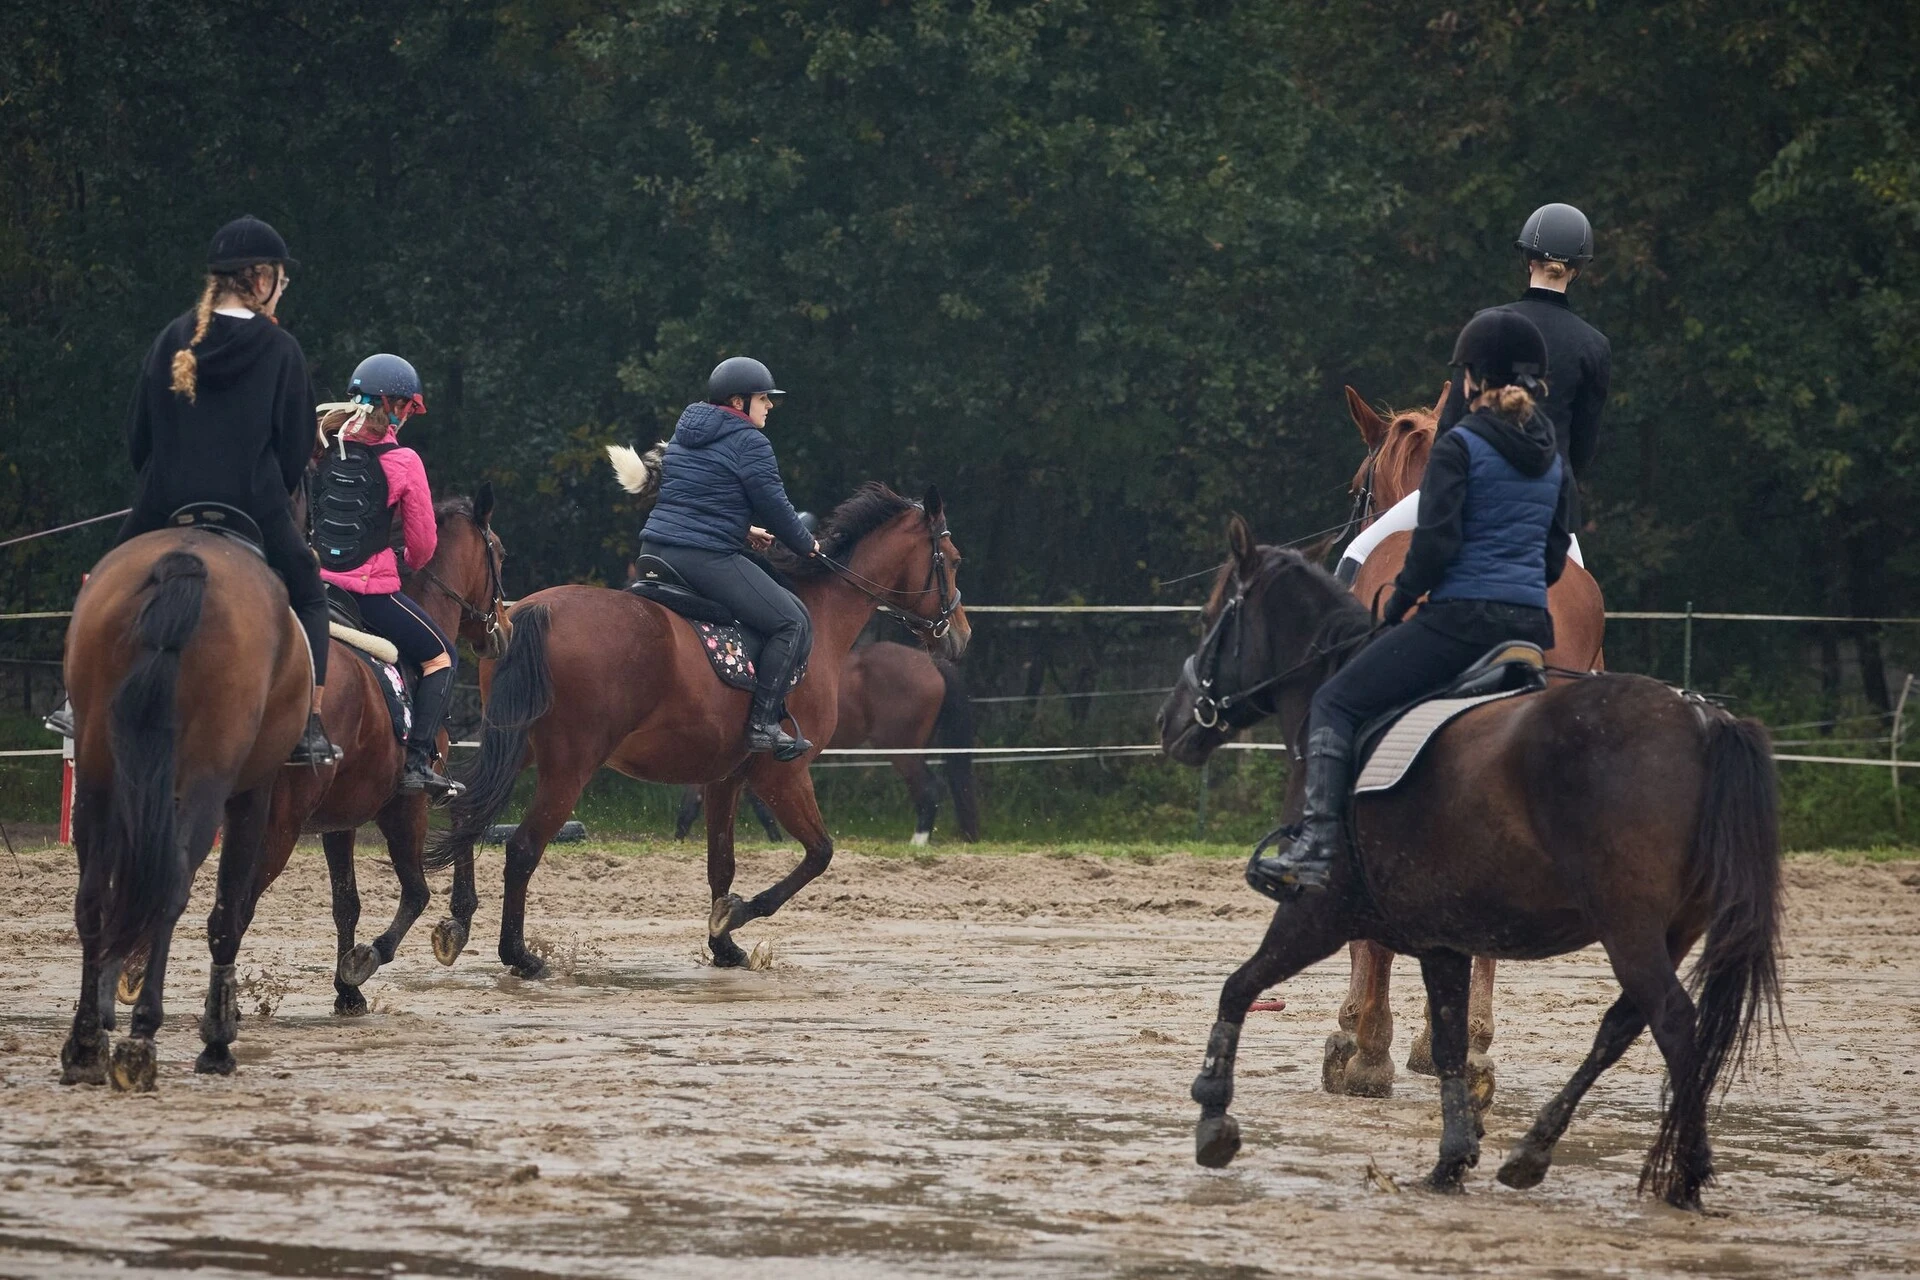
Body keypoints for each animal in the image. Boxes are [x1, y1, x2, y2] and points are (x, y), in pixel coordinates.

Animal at [60, 521, 311, 1090]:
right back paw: (142, 1038)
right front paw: (217, 1037)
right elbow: (230, 910)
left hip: (100, 778)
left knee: (95, 897)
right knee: (174, 885)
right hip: (207, 783)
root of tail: (185, 561)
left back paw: (86, 1044)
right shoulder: (251, 795)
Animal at [251, 485, 514, 1013]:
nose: (502, 628)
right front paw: (368, 959)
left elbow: (345, 902)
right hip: (280, 823)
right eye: (498, 551)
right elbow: (416, 892)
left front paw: (347, 992)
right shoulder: (407, 801)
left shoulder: (340, 817)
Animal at [430, 479, 967, 971]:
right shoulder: (782, 776)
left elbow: (721, 864)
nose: (961, 633)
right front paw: (738, 915)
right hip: (569, 767)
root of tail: (535, 610)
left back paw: (458, 923)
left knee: (467, 813)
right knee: (522, 848)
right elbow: (820, 853)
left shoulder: (724, 779)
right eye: (954, 559)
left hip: (516, 746)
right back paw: (518, 954)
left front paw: (724, 945)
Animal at [1152, 521, 1781, 1212]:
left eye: (1209, 618)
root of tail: (1703, 719)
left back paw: (1685, 1172)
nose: (1169, 721)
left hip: (1630, 927)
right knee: (1622, 1026)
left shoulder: (1317, 912)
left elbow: (1237, 987)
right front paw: (1452, 1157)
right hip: (1667, 930)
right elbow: (1451, 1044)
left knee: (1673, 1023)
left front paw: (1215, 1116)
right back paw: (1536, 1149)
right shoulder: (1442, 938)